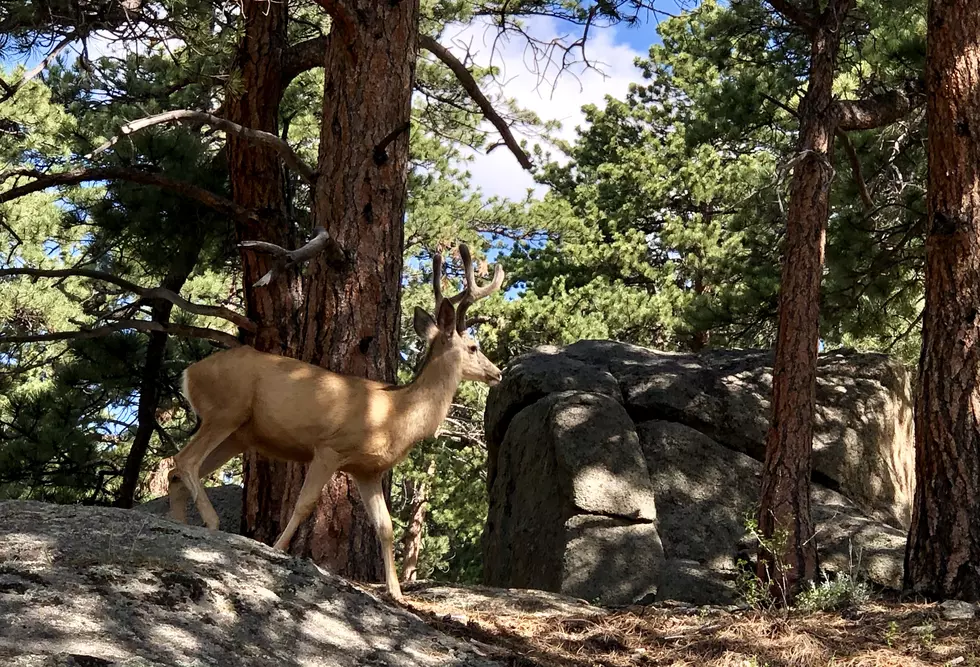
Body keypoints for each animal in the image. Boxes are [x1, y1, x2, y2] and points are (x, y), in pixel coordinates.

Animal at [167, 244, 506, 600]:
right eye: (473, 347)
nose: (498, 373)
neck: (395, 413)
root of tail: (188, 373)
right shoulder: (330, 447)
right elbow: (304, 504)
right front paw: (277, 547)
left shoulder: (368, 470)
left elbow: (385, 527)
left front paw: (396, 593)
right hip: (225, 410)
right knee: (184, 460)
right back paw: (212, 522)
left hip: (238, 434)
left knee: (176, 473)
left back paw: (183, 526)